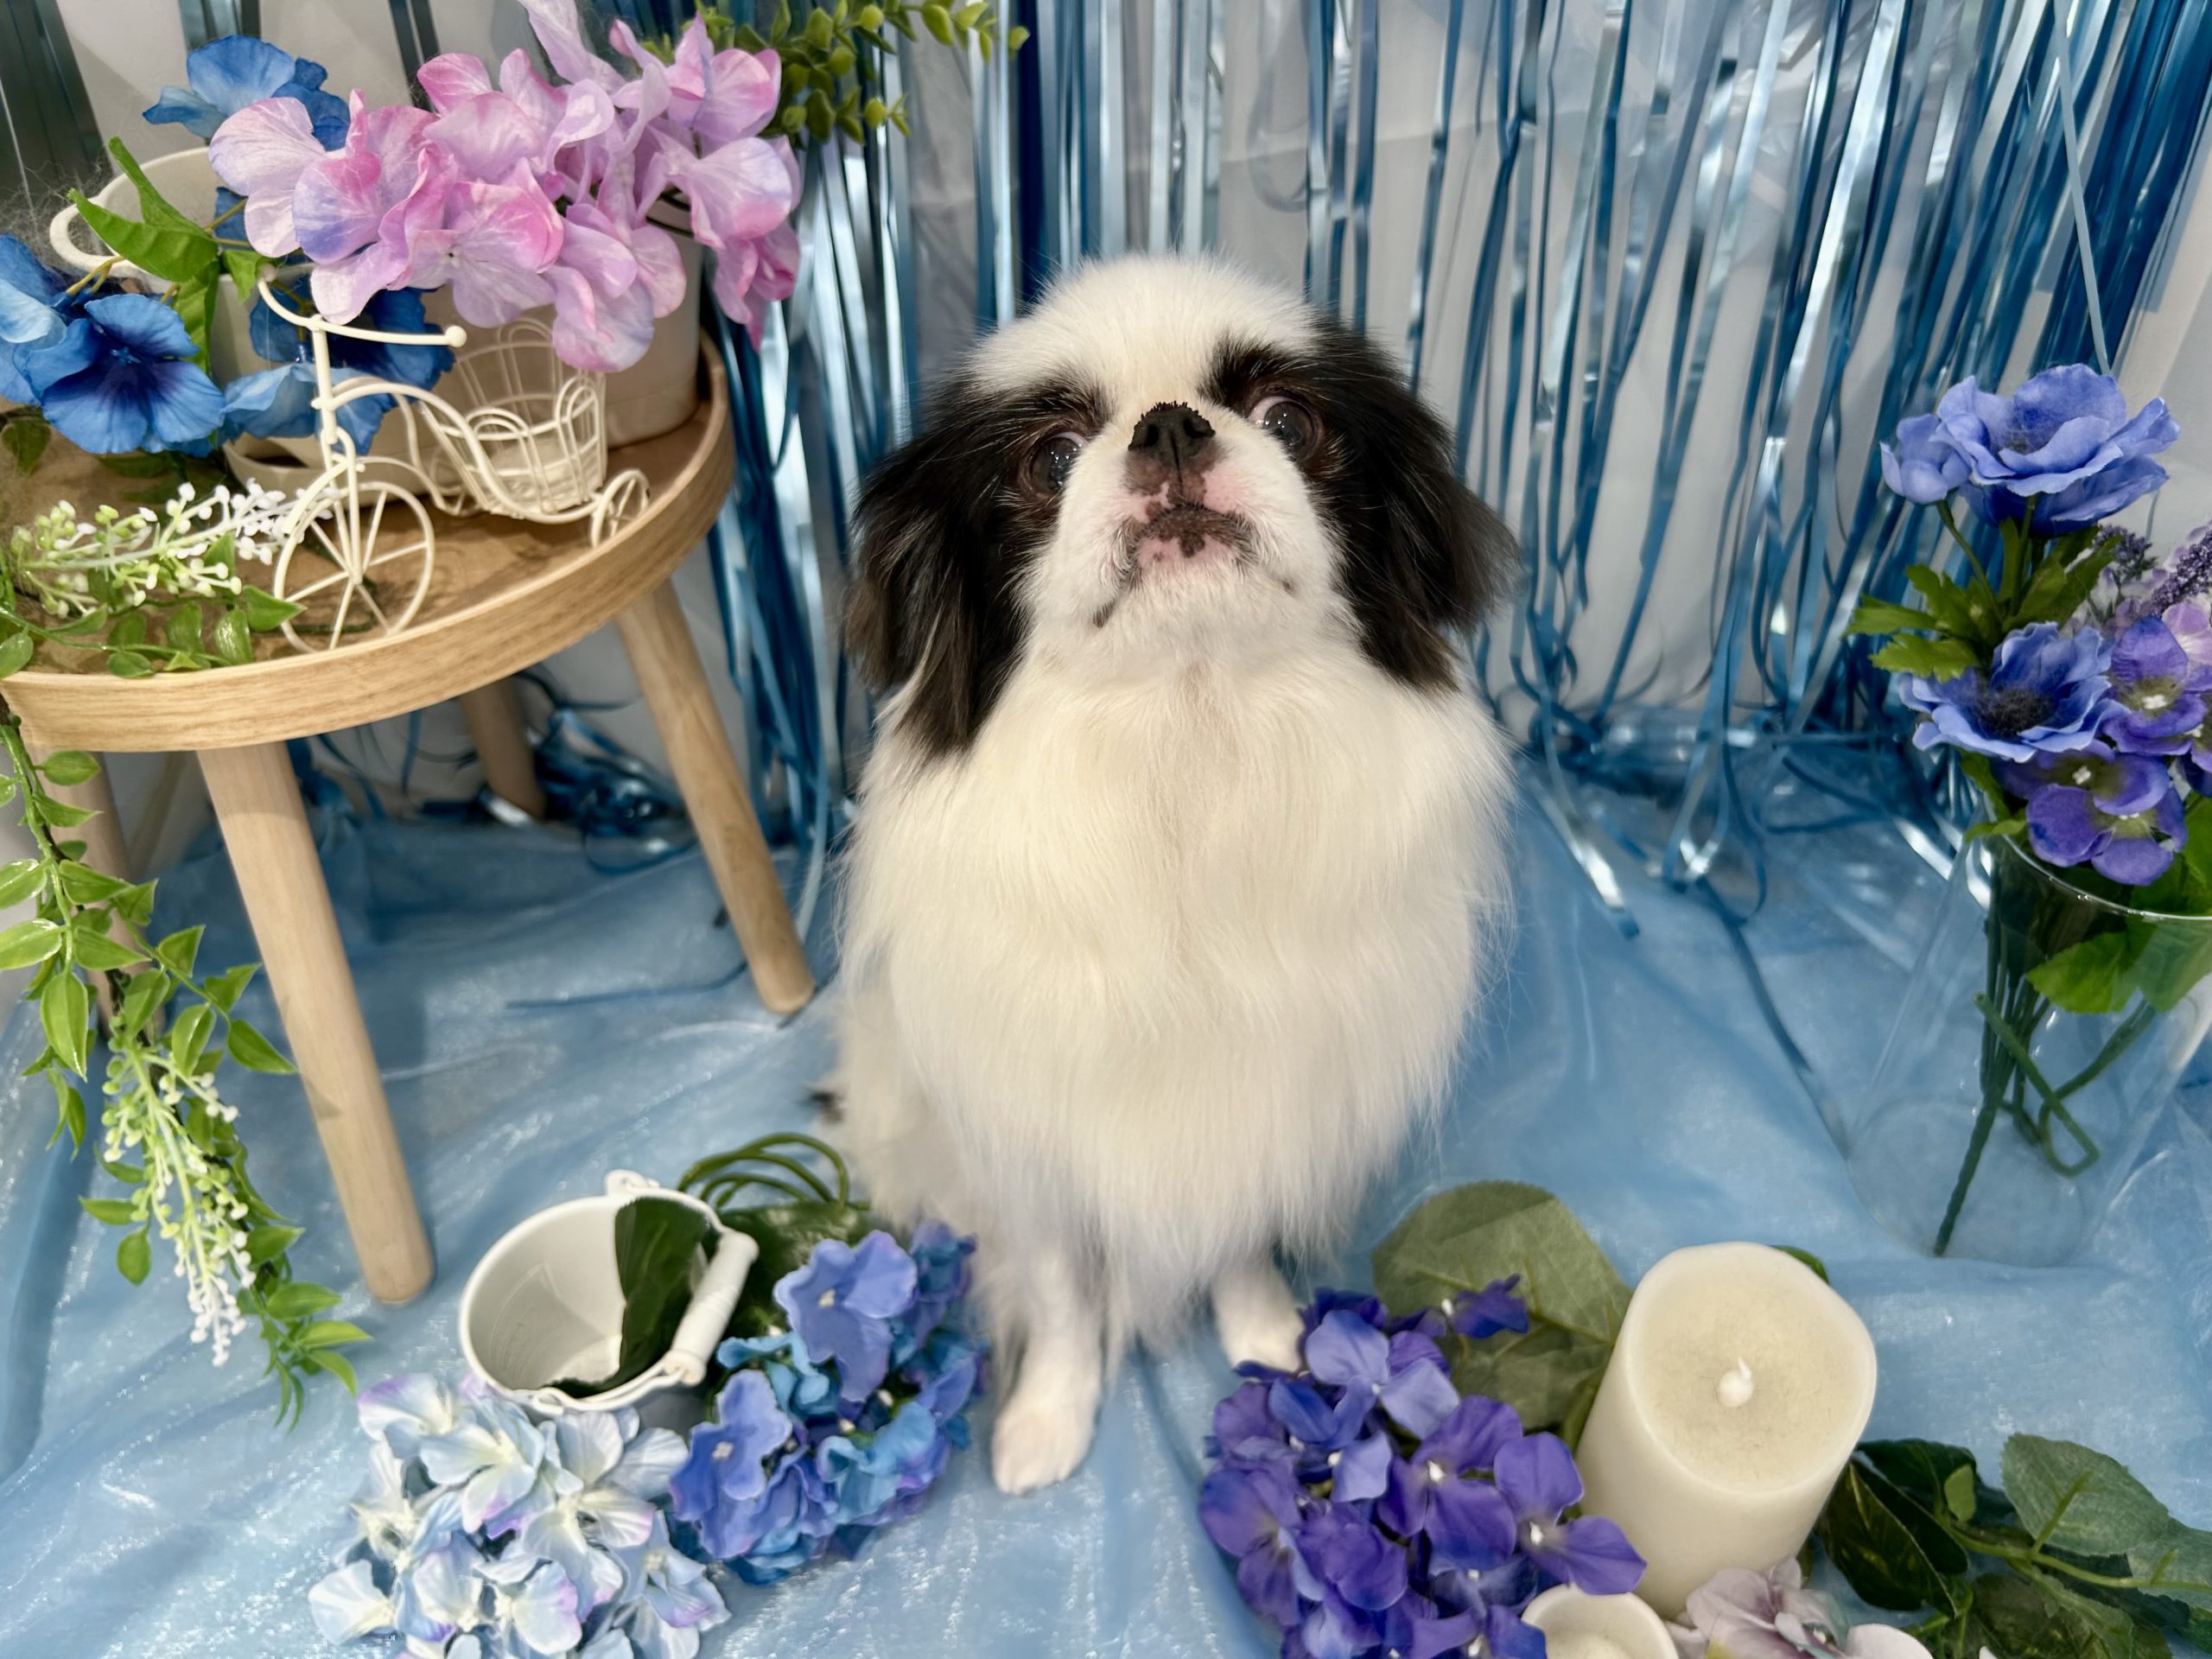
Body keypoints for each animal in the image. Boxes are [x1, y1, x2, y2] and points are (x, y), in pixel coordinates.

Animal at [833, 255, 1516, 1493]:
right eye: (1052, 459)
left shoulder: (1256, 1106)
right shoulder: (1035, 1140)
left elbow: (1239, 1246)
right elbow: (1061, 1295)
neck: (1187, 734)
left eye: (1289, 422)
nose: (1168, 425)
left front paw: (1270, 1343)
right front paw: (1046, 1423)